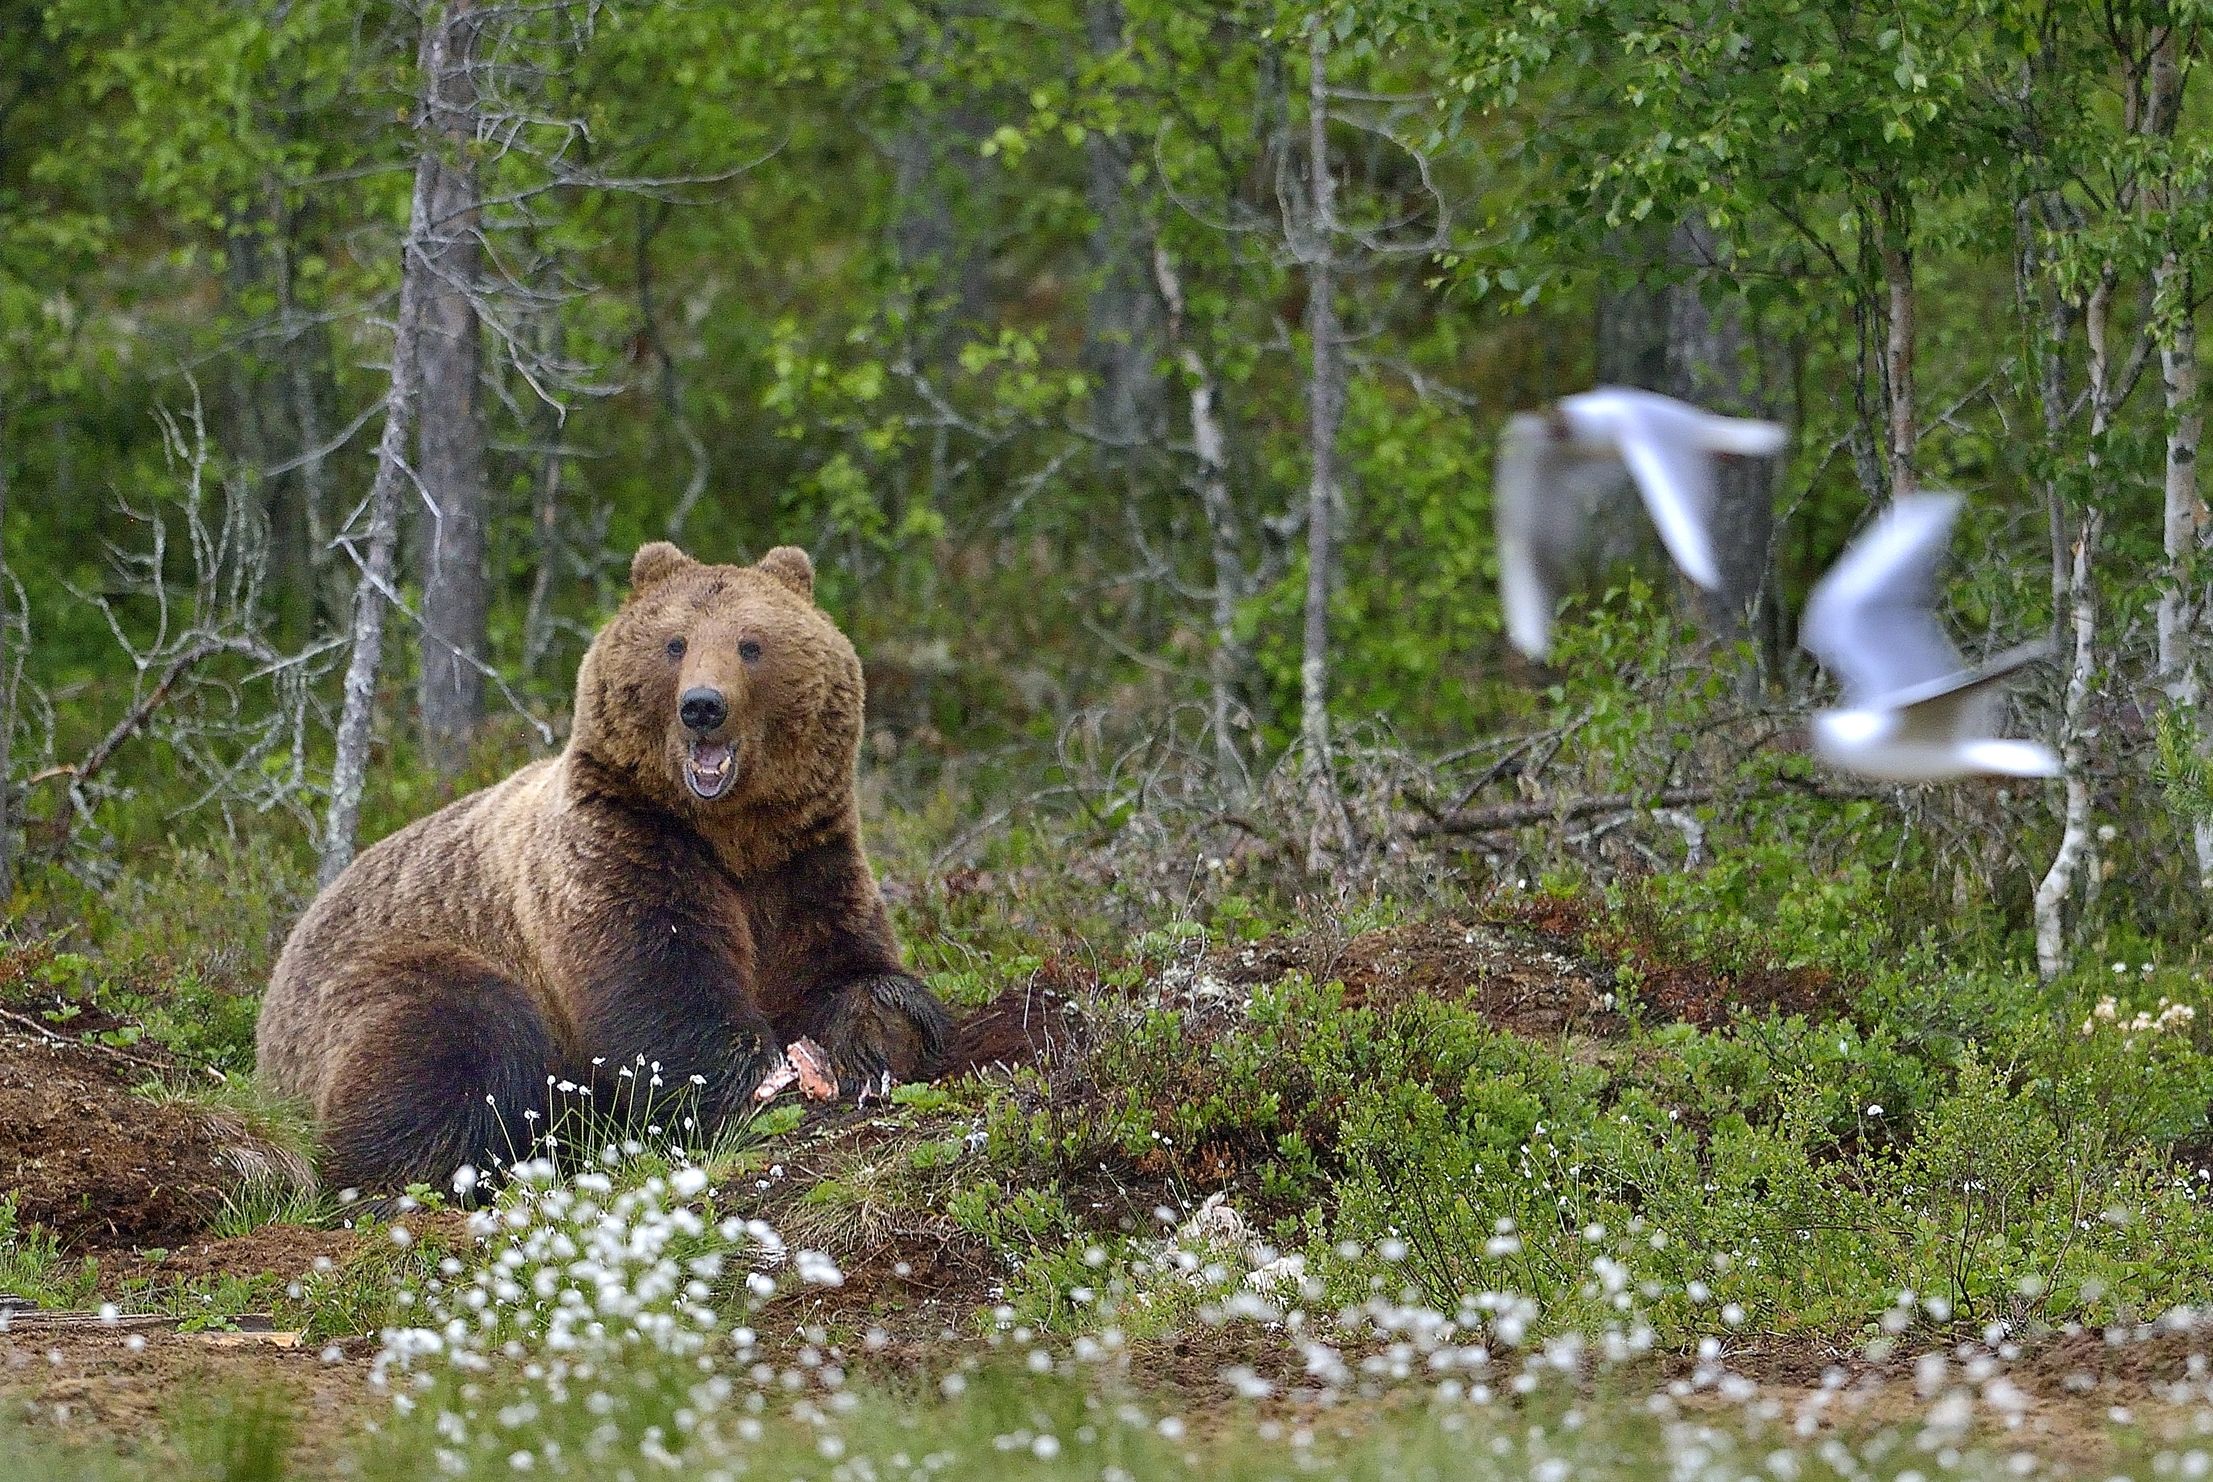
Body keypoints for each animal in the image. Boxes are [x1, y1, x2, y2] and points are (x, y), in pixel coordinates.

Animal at [256, 541, 953, 1193]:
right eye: (675, 643)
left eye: (751, 644)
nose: (703, 705)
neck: (729, 836)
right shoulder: (621, 852)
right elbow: (662, 995)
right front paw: (754, 1088)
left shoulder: (803, 857)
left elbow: (838, 966)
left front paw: (881, 1039)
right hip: (377, 976)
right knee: (462, 1035)